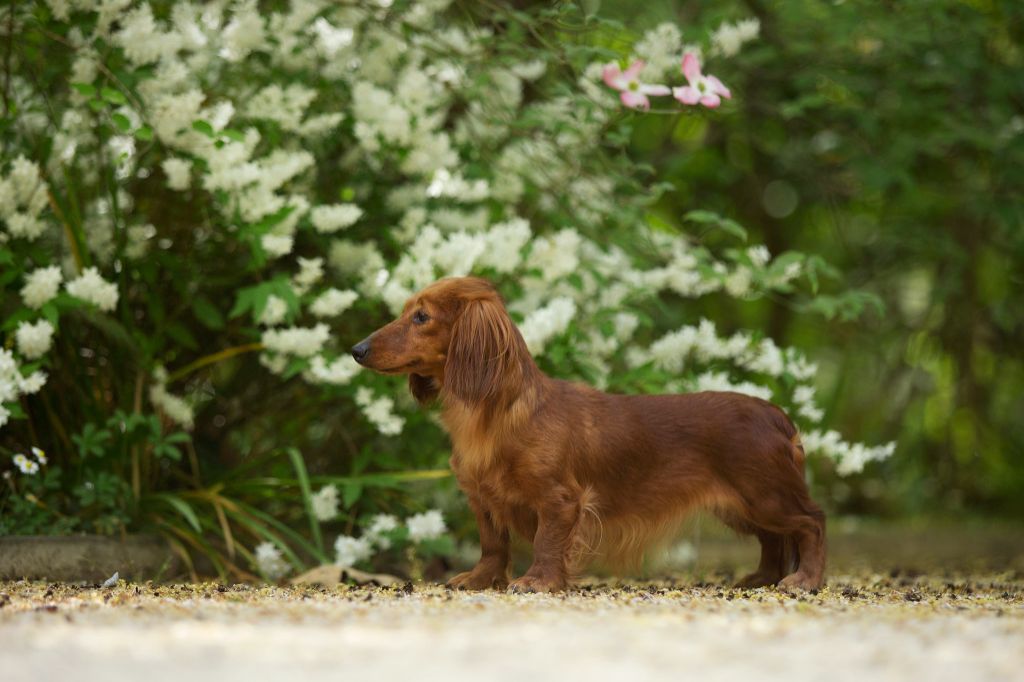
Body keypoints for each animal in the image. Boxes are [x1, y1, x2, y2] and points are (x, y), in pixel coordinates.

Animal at [352, 276, 823, 589]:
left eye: (421, 316)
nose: (356, 349)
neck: (494, 417)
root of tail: (778, 416)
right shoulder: (483, 500)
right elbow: (492, 545)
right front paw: (479, 579)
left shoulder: (560, 500)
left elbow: (546, 542)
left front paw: (537, 581)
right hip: (744, 505)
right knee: (775, 539)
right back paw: (762, 578)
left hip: (764, 495)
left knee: (811, 522)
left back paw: (805, 579)